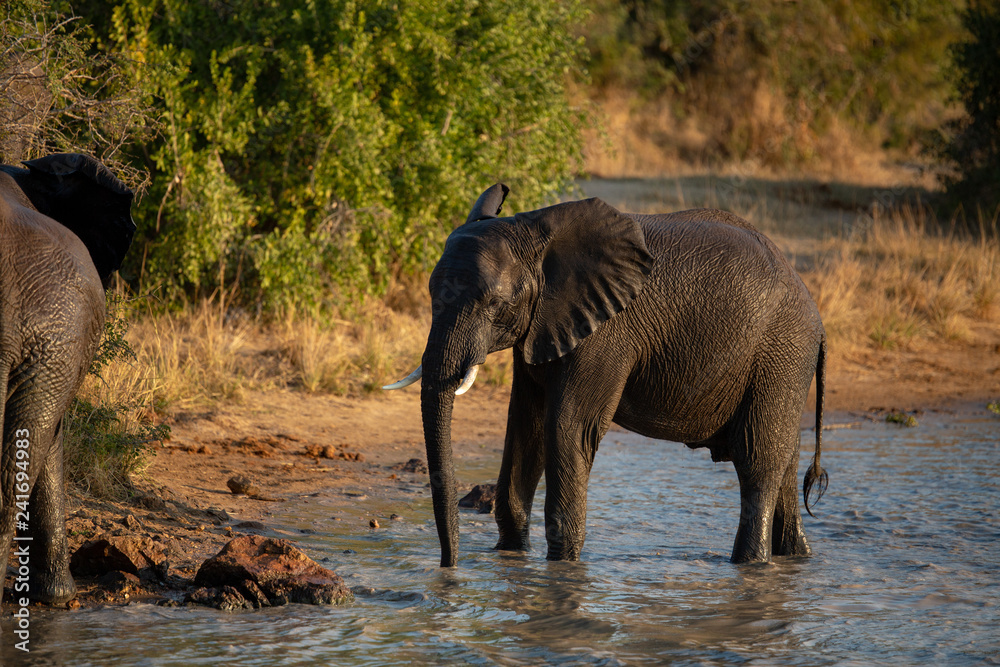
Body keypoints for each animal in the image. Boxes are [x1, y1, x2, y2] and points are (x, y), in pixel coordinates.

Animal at [385, 183, 828, 567]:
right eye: (429, 292)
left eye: (496, 303)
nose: (449, 566)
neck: (534, 228)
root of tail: (816, 316)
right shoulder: (541, 327)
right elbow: (527, 426)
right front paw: (510, 556)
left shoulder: (606, 332)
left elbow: (567, 427)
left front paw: (562, 567)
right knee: (784, 463)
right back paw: (796, 558)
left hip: (781, 354)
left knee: (757, 462)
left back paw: (748, 565)